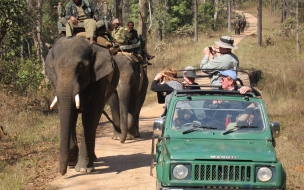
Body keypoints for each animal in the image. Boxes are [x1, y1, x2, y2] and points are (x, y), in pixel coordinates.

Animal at [45, 36, 119, 174]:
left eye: (80, 66)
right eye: (54, 68)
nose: (62, 173)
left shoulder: (99, 80)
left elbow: (89, 116)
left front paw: (83, 169)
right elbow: (69, 114)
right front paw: (72, 160)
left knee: (95, 120)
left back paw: (92, 159)